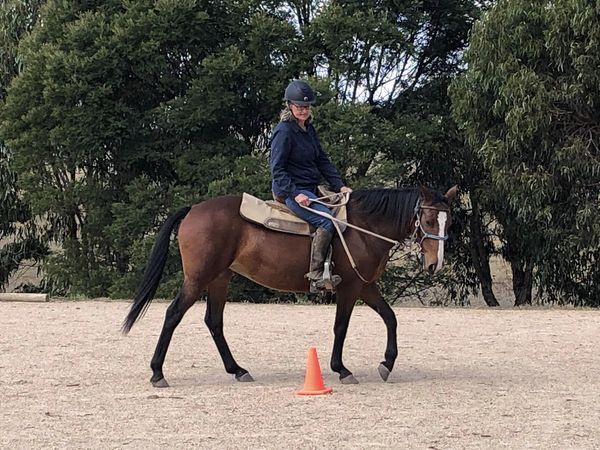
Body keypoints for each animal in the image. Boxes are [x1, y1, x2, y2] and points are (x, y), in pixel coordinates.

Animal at [123, 185, 460, 384]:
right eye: (429, 220)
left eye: (449, 221)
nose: (435, 264)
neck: (363, 228)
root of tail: (193, 209)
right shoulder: (350, 288)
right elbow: (341, 327)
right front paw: (341, 369)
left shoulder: (367, 287)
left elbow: (391, 318)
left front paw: (386, 364)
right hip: (198, 279)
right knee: (173, 315)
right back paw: (157, 372)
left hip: (220, 278)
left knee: (214, 321)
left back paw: (238, 370)